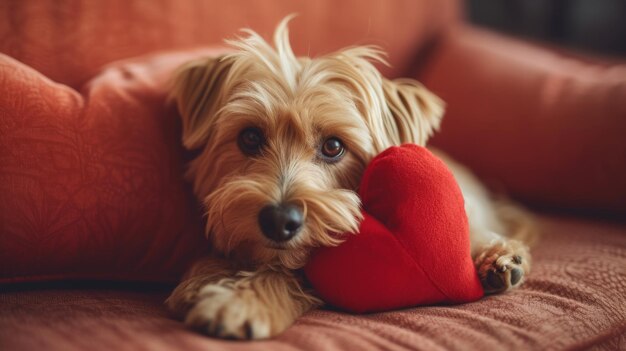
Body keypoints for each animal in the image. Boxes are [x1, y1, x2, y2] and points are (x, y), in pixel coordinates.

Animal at [165, 17, 532, 340]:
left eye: (333, 146)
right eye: (250, 137)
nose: (279, 220)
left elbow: (282, 275)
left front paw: (240, 302)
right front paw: (203, 279)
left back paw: (497, 257)